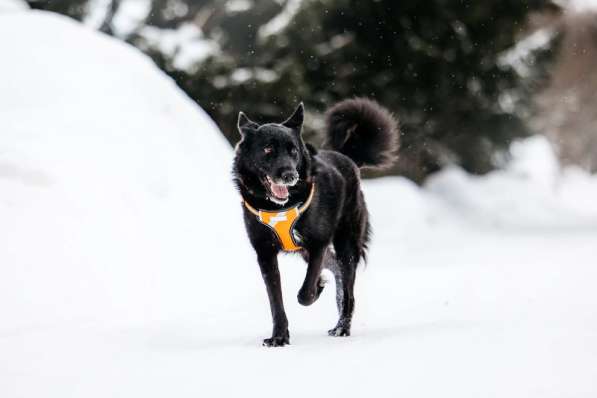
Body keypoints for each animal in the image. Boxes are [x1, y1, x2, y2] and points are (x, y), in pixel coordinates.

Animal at [230, 97, 398, 346]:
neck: (279, 206)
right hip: (308, 252)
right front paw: (279, 337)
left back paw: (342, 328)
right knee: (336, 268)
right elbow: (276, 302)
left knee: (347, 287)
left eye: (293, 151)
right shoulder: (266, 254)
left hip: (346, 244)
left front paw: (315, 289)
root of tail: (347, 158)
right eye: (268, 149)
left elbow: (305, 292)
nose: (290, 175)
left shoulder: (318, 243)